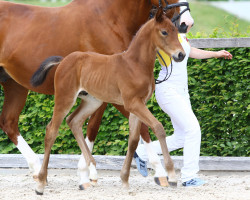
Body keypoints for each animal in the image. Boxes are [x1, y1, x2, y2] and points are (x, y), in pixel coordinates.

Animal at [0, 0, 191, 182]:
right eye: (164, 32)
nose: (186, 23)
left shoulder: (102, 97)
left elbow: (93, 129)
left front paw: (87, 171)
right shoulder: (126, 101)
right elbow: (145, 128)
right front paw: (160, 171)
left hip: (15, 85)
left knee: (9, 122)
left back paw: (37, 169)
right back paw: (40, 172)